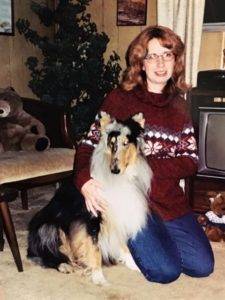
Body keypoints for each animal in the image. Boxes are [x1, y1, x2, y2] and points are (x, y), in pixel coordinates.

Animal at [27, 111, 152, 284]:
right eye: (111, 143)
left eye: (126, 143)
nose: (114, 170)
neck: (117, 180)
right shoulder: (91, 219)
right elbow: (95, 248)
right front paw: (98, 277)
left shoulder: (118, 216)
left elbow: (123, 244)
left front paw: (134, 265)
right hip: (50, 227)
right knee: (46, 255)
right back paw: (65, 265)